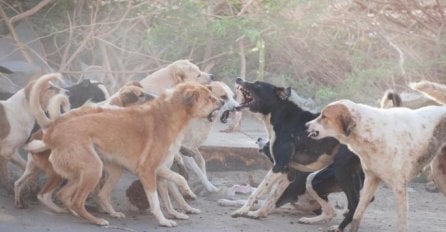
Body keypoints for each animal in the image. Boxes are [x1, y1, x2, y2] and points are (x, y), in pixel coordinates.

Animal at [24, 82, 223, 227]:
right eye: (209, 98)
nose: (222, 102)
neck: (167, 117)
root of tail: (51, 133)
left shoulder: (160, 172)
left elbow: (172, 191)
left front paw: (180, 205)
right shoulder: (147, 171)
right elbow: (157, 202)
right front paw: (164, 221)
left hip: (98, 172)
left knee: (71, 195)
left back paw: (107, 213)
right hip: (94, 169)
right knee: (76, 200)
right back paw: (97, 220)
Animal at [304, 99, 446, 232]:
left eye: (324, 116)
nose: (306, 125)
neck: (371, 132)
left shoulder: (399, 187)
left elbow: (402, 223)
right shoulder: (371, 179)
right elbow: (357, 214)